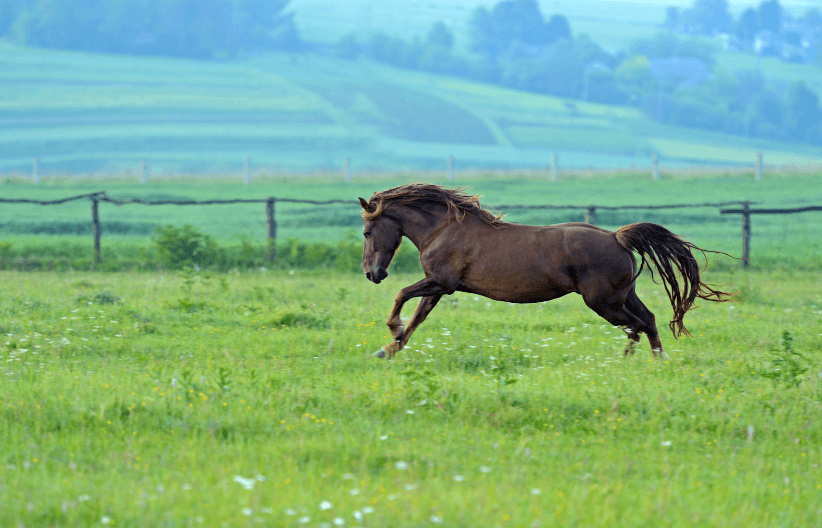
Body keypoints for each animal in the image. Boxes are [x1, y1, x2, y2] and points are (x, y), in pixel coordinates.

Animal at [359, 183, 732, 360]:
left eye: (366, 232)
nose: (372, 274)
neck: (443, 229)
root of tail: (617, 237)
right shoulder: (439, 288)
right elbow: (417, 318)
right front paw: (389, 348)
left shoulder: (441, 282)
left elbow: (402, 296)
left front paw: (391, 333)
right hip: (623, 296)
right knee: (649, 321)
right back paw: (657, 362)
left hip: (603, 302)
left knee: (635, 326)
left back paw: (629, 363)